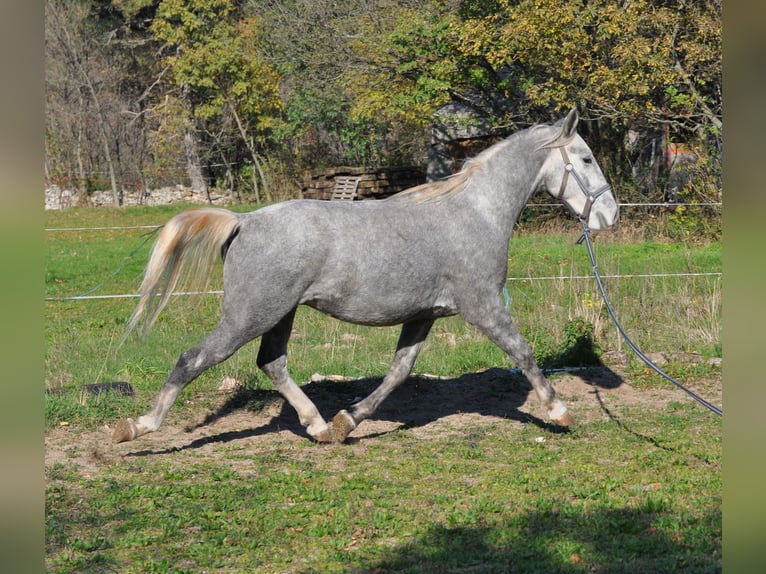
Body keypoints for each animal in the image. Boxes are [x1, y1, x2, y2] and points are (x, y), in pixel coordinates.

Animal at [112, 110, 616, 448]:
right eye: (586, 159)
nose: (609, 216)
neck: (476, 213)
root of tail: (244, 221)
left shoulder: (423, 316)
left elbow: (398, 373)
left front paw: (347, 421)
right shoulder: (484, 306)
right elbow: (523, 352)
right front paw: (559, 411)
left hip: (278, 314)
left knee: (272, 363)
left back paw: (318, 426)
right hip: (248, 316)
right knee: (192, 360)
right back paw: (137, 427)